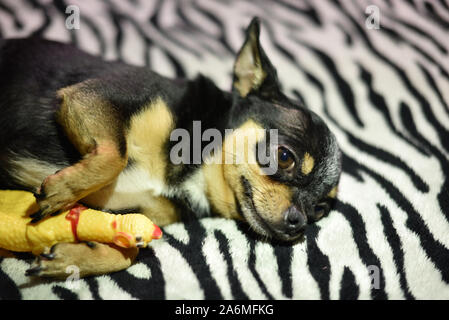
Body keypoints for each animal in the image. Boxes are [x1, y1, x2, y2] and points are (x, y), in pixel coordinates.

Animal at [0, 18, 340, 278]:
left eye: (320, 210)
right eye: (284, 157)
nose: (299, 222)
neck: (194, 167)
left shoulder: (125, 210)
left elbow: (128, 252)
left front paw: (72, 260)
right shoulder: (89, 97)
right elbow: (115, 154)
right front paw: (63, 191)